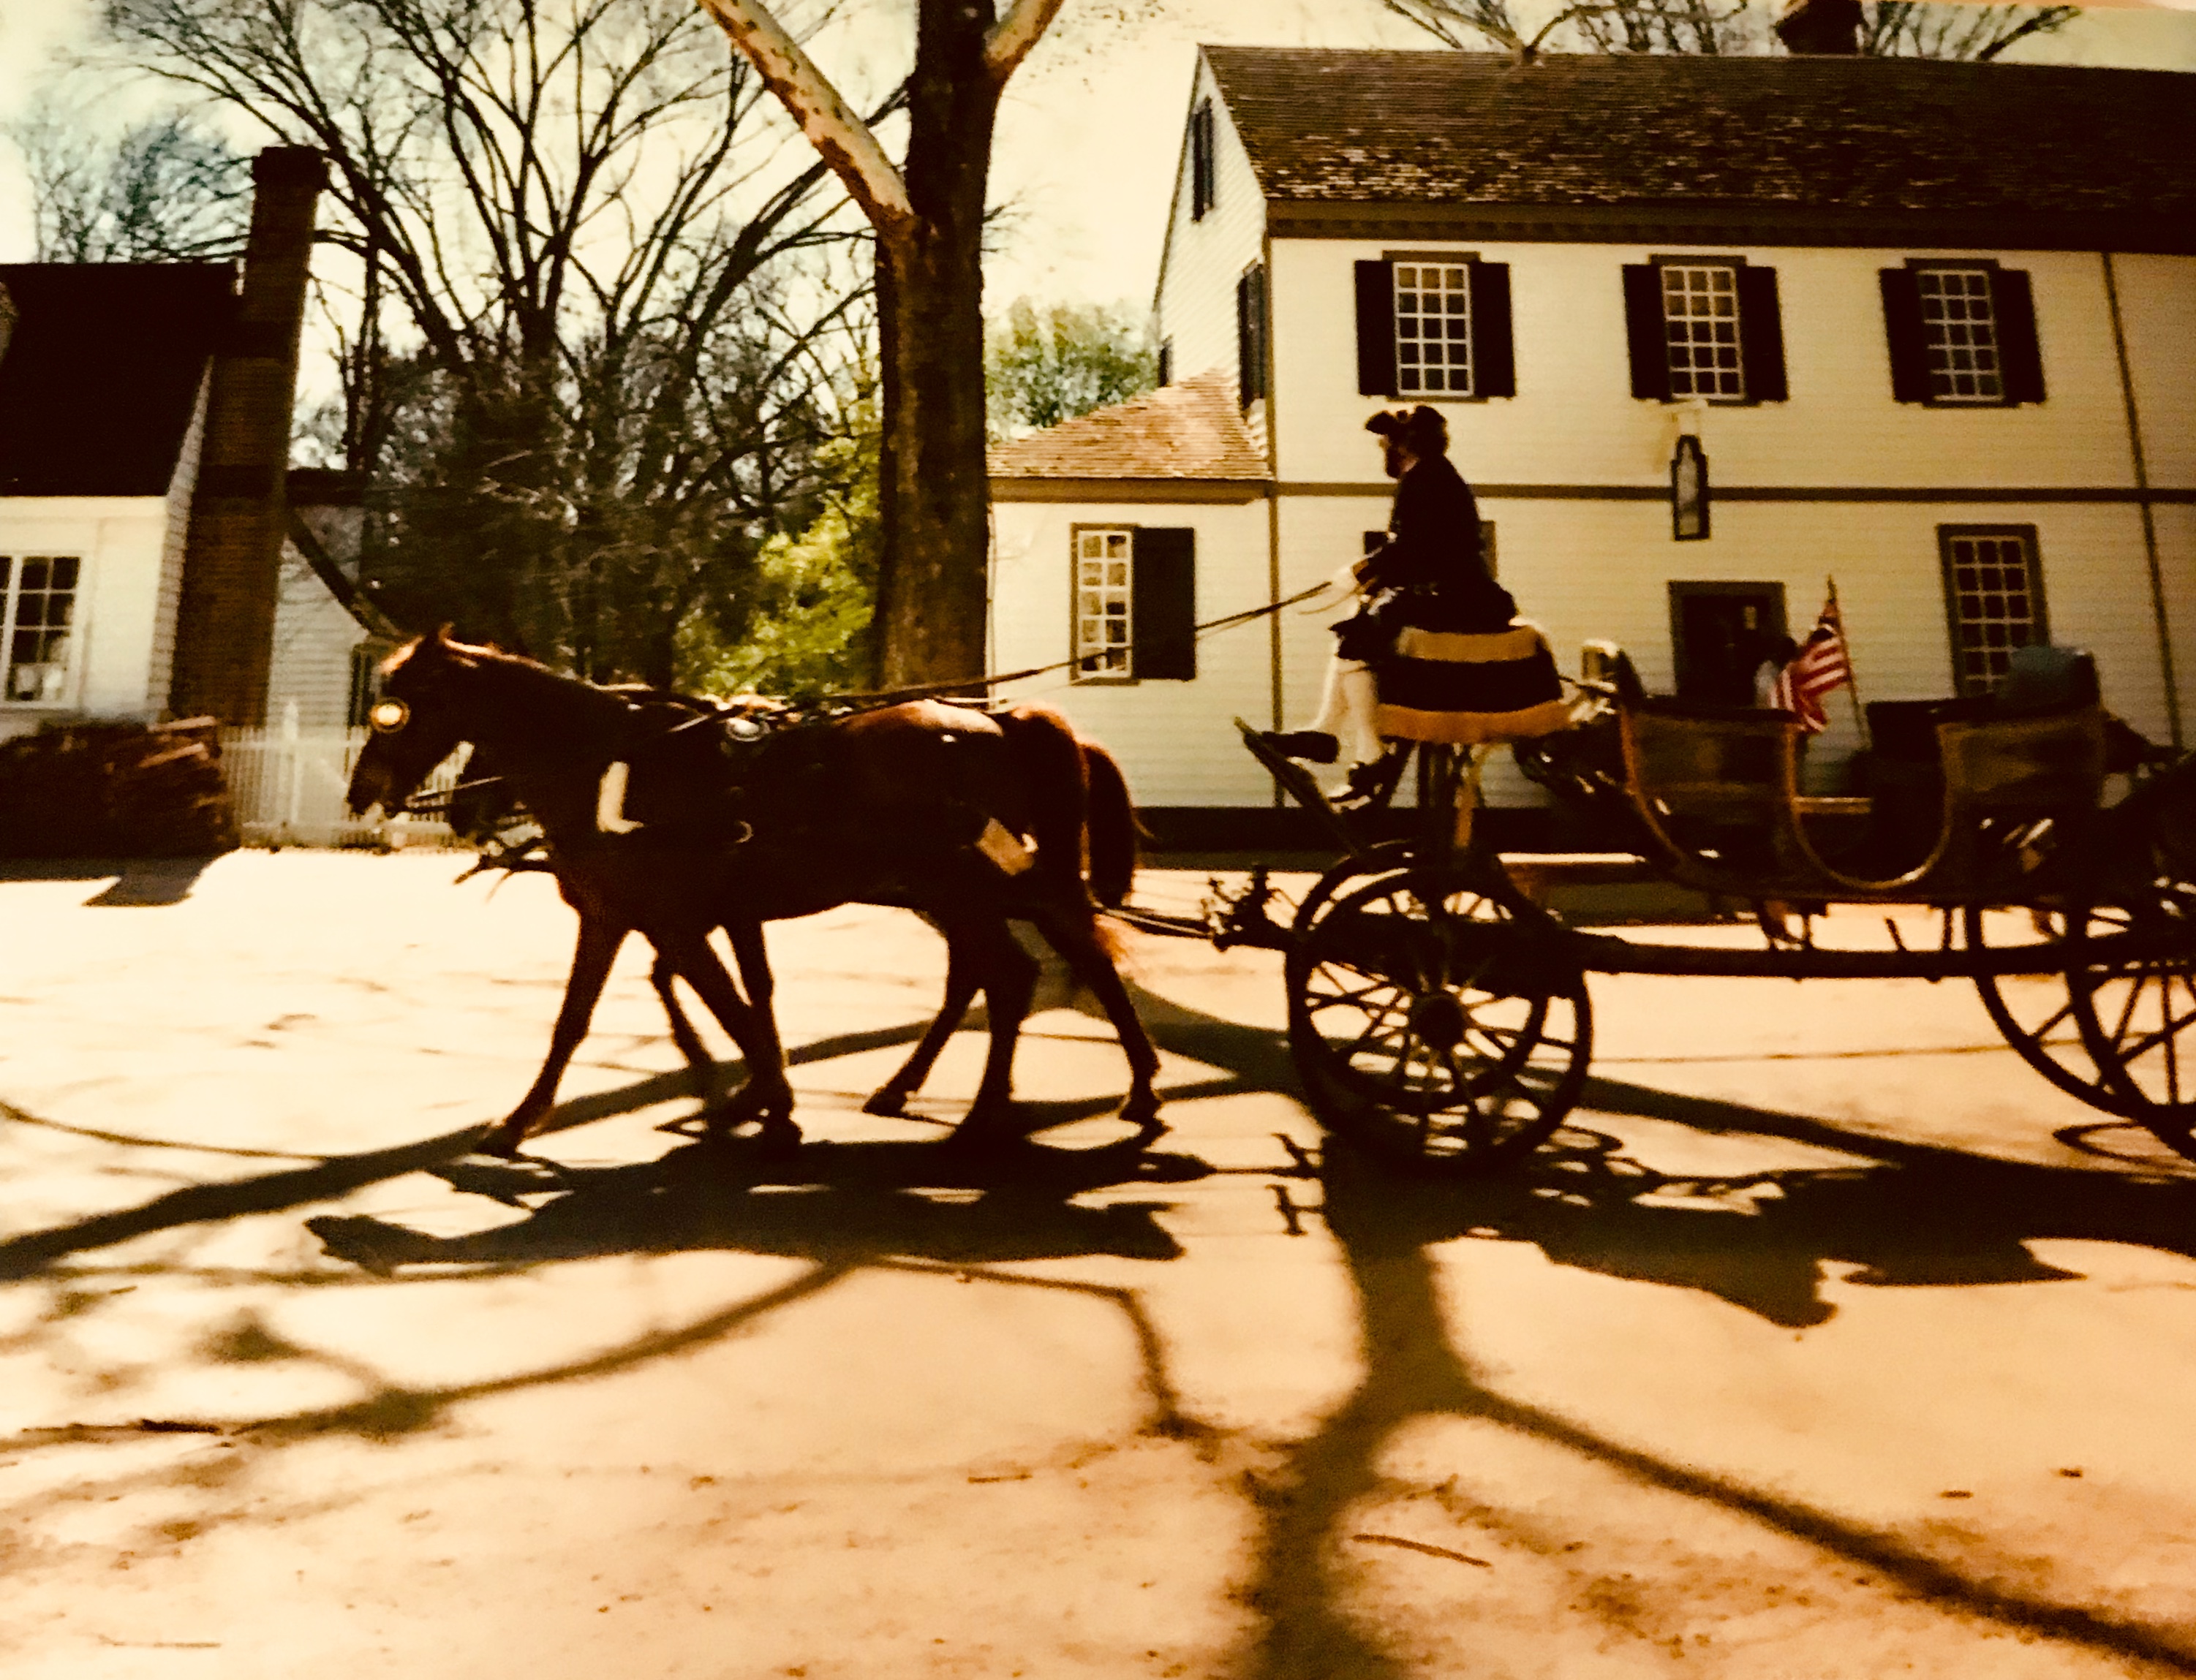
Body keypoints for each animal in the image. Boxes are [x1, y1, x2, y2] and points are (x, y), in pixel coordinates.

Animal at [342, 628, 1159, 1151]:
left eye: (396, 709)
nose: (362, 790)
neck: (618, 764)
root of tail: (999, 721)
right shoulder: (632, 917)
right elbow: (594, 1017)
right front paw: (526, 1117)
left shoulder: (669, 920)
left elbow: (724, 1004)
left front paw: (767, 1098)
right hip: (963, 891)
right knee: (1025, 965)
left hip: (961, 886)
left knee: (1015, 974)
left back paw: (990, 1112)